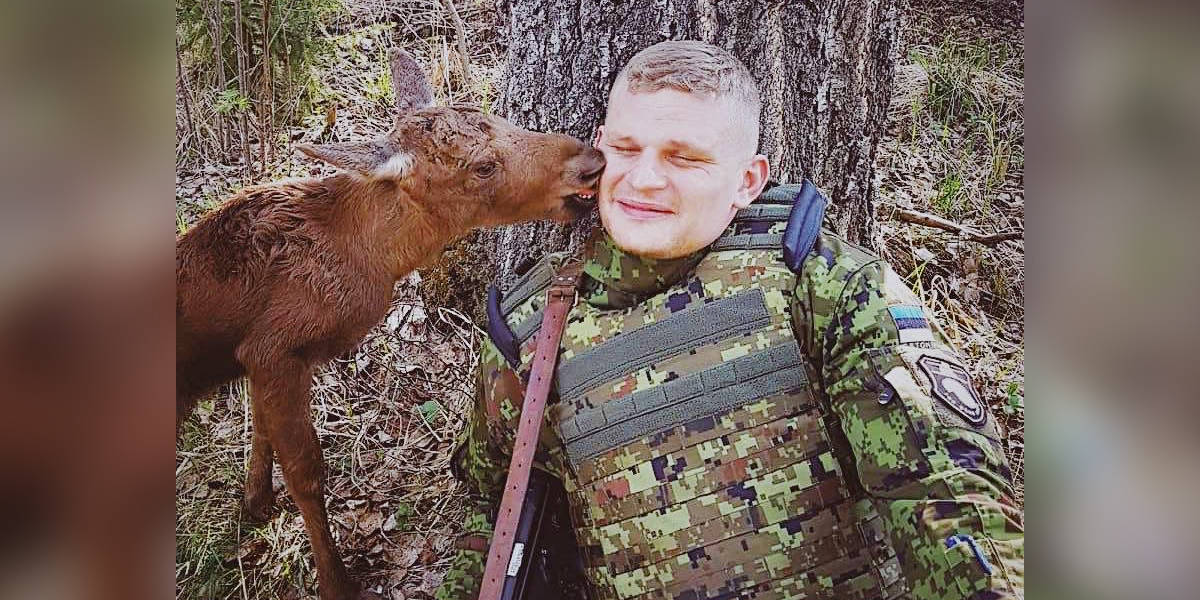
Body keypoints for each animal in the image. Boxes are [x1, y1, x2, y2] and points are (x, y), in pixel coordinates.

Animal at [174, 50, 604, 600]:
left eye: (501, 118)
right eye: (482, 166)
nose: (589, 161)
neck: (370, 259)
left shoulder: (257, 355)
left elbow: (264, 427)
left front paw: (256, 502)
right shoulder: (275, 349)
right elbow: (306, 471)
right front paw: (336, 582)